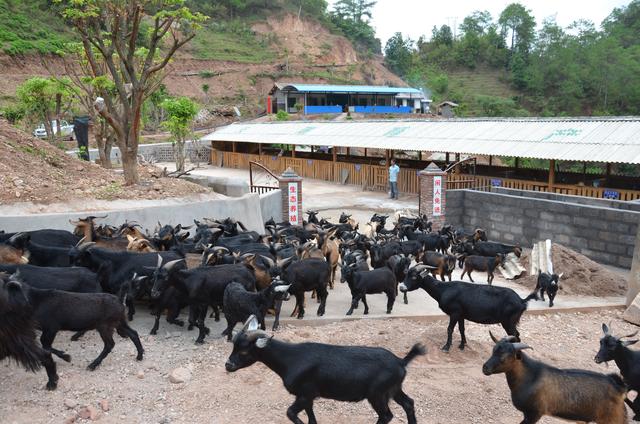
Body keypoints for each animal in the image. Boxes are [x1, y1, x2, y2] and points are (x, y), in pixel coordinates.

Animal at [225, 314, 424, 424]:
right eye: (233, 346)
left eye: (244, 351)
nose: (228, 365)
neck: (290, 358)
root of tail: (401, 361)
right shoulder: (308, 396)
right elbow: (311, 417)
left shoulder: (305, 394)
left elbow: (290, 413)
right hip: (394, 389)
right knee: (408, 403)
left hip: (377, 394)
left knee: (386, 416)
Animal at [402, 264, 536, 352]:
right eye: (406, 274)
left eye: (414, 277)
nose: (402, 287)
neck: (444, 289)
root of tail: (522, 301)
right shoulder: (461, 314)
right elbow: (462, 329)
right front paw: (462, 345)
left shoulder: (454, 313)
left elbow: (450, 329)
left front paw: (446, 347)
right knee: (516, 335)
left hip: (508, 321)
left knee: (516, 335)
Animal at [482, 332, 628, 422]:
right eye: (493, 350)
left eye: (504, 357)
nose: (485, 368)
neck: (530, 376)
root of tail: (618, 387)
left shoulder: (534, 414)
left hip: (613, 419)